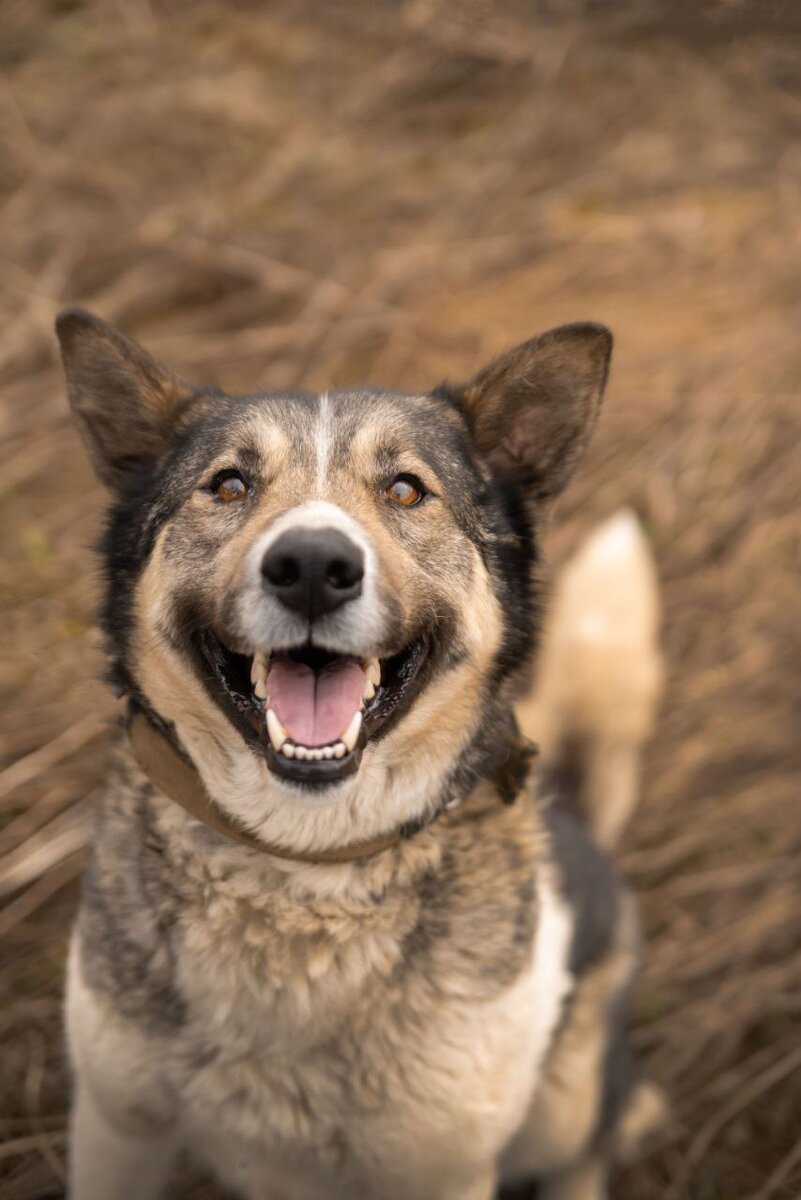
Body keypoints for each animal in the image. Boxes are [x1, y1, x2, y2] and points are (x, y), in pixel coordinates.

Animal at [56, 312, 661, 1200]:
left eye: (405, 490)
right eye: (229, 485)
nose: (312, 565)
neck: (305, 861)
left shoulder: (443, 1166)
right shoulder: (116, 1125)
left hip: (564, 1101)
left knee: (583, 1153)